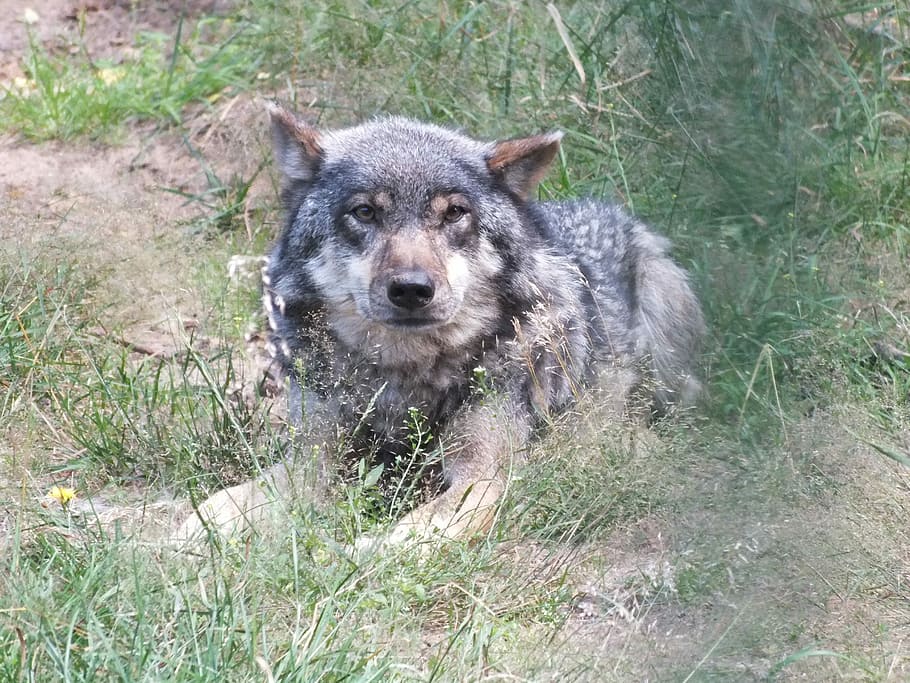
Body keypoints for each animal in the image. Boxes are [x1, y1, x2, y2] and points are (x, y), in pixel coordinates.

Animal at [175, 103, 704, 546]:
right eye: (364, 212)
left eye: (454, 213)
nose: (412, 290)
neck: (402, 380)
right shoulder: (316, 456)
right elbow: (232, 501)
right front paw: (186, 533)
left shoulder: (482, 476)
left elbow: (410, 533)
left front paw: (358, 557)